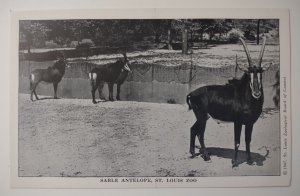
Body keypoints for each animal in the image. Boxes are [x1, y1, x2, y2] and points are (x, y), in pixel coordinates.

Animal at [186, 37, 270, 167]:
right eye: (249, 73)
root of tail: (192, 93)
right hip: (201, 117)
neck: (246, 97)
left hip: (203, 117)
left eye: (261, 73)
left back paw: (193, 152)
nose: (256, 93)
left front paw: (250, 160)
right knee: (200, 134)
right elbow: (237, 141)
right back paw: (207, 157)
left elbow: (248, 140)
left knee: (193, 129)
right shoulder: (238, 122)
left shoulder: (250, 123)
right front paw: (234, 162)